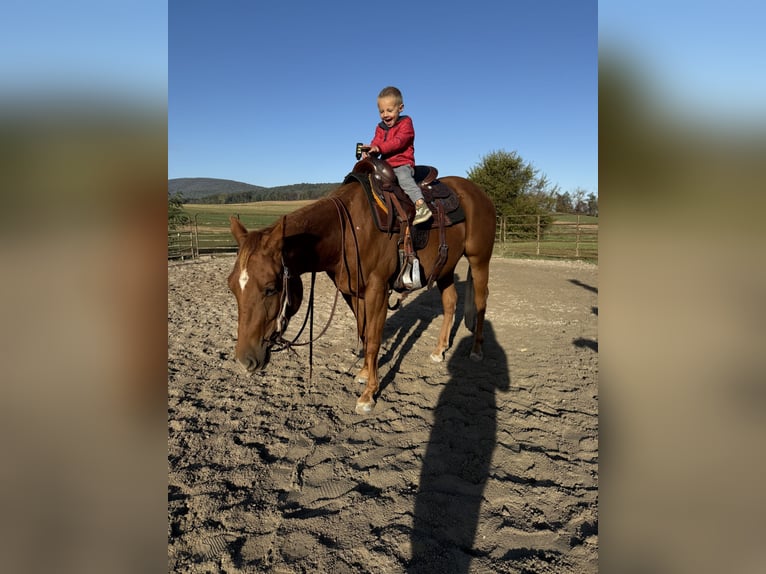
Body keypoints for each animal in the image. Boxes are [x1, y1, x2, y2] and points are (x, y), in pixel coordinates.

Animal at [227, 173, 496, 414]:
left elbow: (374, 340)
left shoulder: (378, 291)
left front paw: (368, 395)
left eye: (270, 288)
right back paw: (440, 350)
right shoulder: (354, 293)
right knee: (450, 302)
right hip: (445, 268)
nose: (245, 360)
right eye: (232, 287)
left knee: (481, 301)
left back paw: (476, 350)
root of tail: (479, 193)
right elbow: (364, 334)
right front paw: (365, 373)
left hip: (479, 260)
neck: (346, 230)